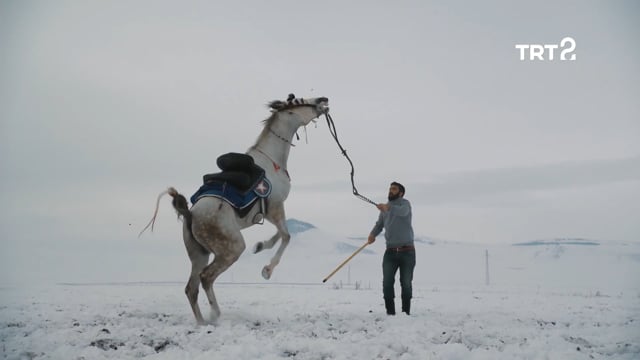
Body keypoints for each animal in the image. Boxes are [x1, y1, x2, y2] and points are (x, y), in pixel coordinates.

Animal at [144, 93, 330, 324]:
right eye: (299, 100)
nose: (323, 100)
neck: (272, 160)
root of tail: (190, 213)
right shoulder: (275, 207)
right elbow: (286, 236)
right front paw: (267, 270)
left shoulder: (270, 212)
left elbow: (281, 234)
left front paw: (259, 246)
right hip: (231, 248)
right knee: (206, 277)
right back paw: (215, 314)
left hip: (199, 253)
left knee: (191, 288)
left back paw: (203, 322)